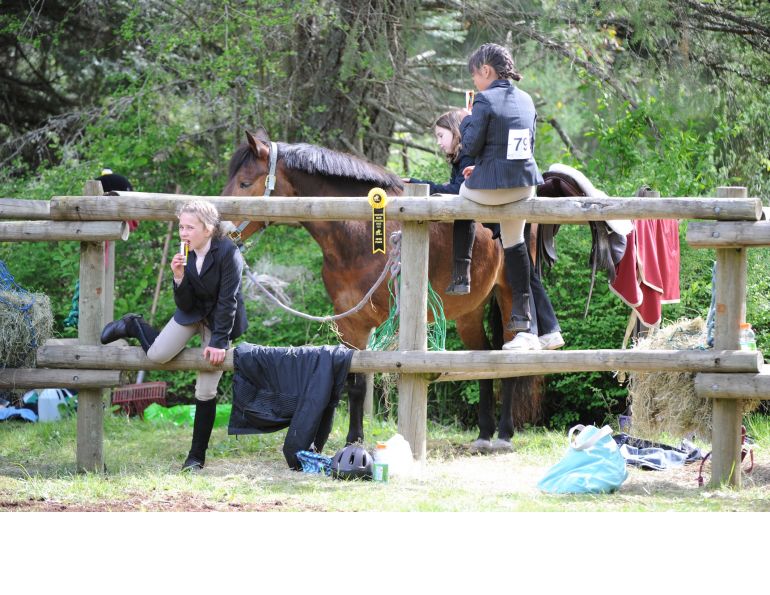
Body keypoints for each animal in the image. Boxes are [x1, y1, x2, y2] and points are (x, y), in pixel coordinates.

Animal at [222, 129, 544, 449]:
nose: (221, 230)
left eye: (245, 182)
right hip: (469, 312)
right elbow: (355, 383)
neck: (362, 234)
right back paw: (484, 433)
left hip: (509, 296)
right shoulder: (351, 324)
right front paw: (354, 440)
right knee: (485, 358)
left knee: (509, 361)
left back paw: (503, 435)